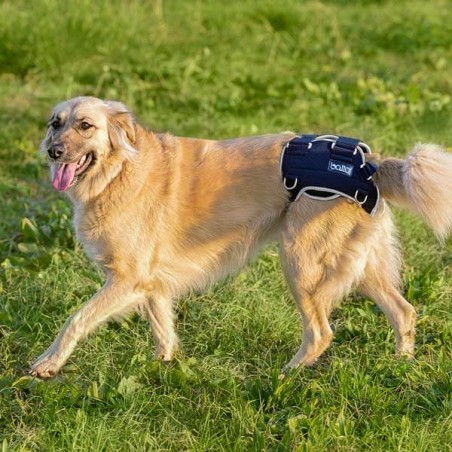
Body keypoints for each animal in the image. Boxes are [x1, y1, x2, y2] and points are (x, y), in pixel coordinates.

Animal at [31, 96, 452, 378]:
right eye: (55, 123)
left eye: (85, 126)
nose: (54, 152)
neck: (118, 173)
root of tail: (371, 163)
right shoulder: (151, 283)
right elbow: (163, 329)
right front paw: (163, 366)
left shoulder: (127, 279)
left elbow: (75, 320)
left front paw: (48, 363)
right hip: (362, 267)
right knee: (404, 312)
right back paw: (399, 365)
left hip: (301, 264)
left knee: (321, 333)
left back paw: (287, 375)